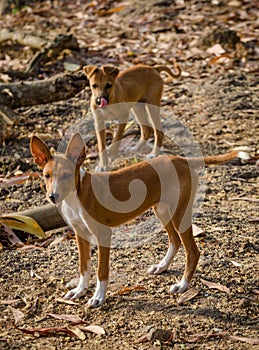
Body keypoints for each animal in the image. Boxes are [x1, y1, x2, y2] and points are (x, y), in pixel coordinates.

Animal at [30, 133, 250, 308]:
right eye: (46, 175)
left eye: (67, 175)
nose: (53, 197)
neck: (77, 195)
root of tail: (180, 159)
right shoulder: (80, 235)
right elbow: (84, 268)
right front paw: (79, 290)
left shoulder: (103, 234)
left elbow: (102, 271)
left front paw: (98, 297)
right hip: (162, 210)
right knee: (174, 241)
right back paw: (162, 266)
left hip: (179, 214)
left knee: (193, 252)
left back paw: (182, 285)